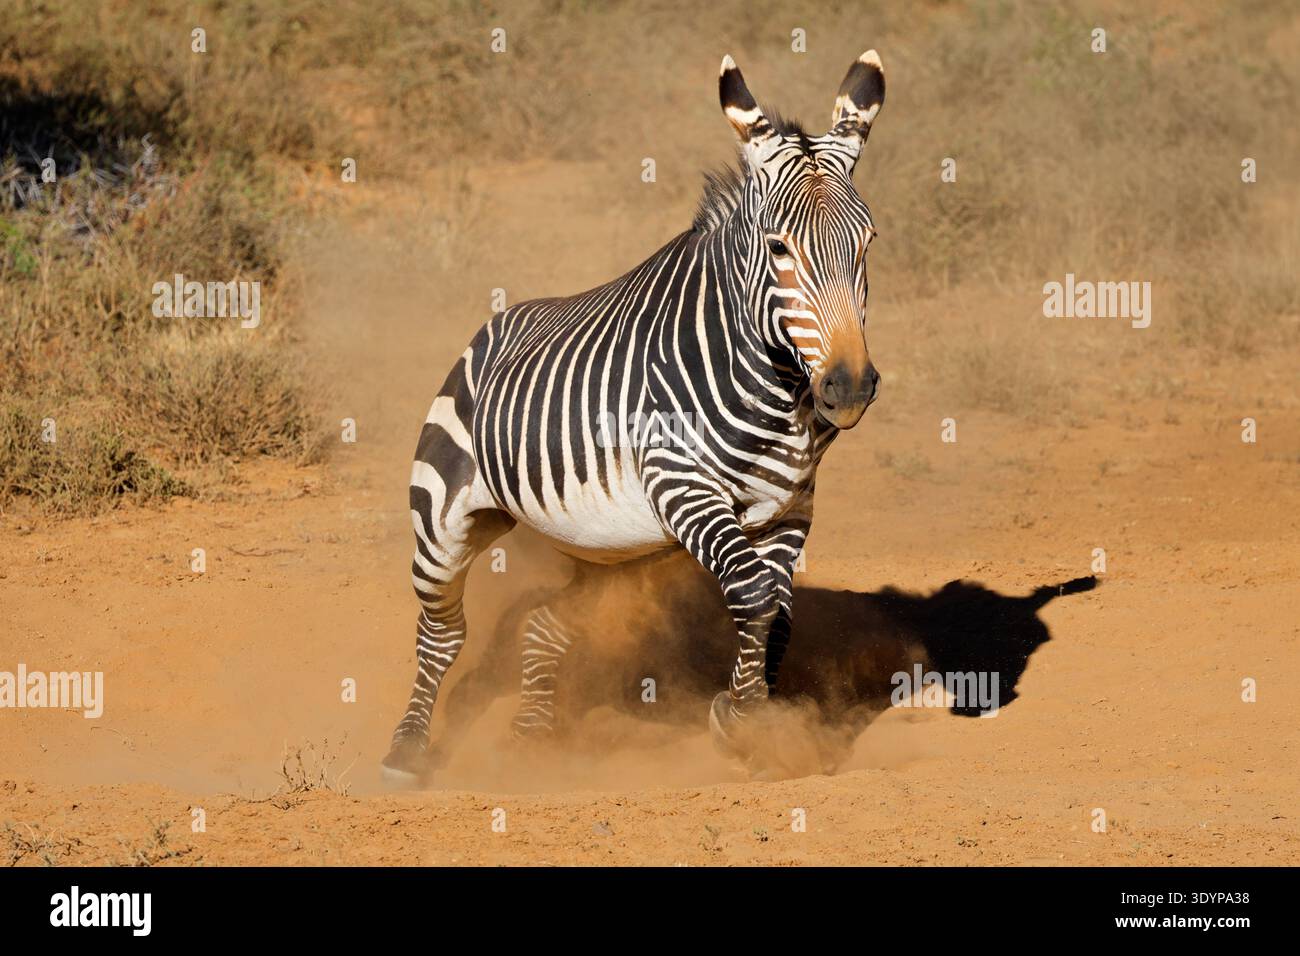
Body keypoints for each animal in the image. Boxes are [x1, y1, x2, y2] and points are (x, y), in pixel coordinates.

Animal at [384, 50, 887, 782]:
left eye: (867, 243)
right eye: (779, 249)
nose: (847, 388)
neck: (775, 393)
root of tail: (494, 326)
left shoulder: (791, 507)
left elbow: (777, 613)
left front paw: (757, 721)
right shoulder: (682, 484)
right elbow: (754, 597)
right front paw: (740, 723)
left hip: (603, 547)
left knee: (543, 620)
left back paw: (533, 735)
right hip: (444, 517)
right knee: (444, 633)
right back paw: (408, 750)